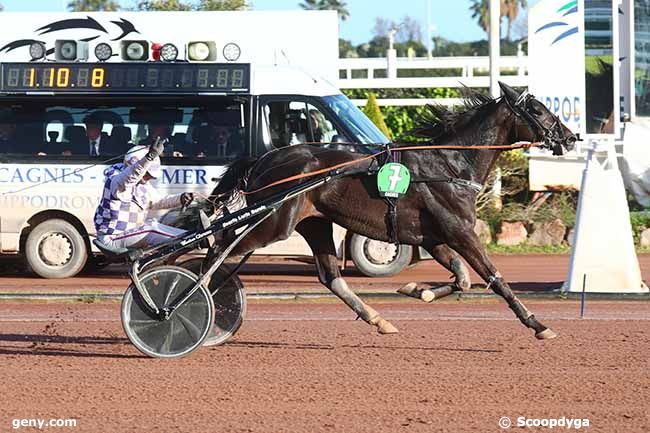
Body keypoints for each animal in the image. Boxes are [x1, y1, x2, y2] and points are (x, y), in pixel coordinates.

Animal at [204, 82, 572, 338]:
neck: (450, 165)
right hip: (275, 222)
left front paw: (418, 290)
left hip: (314, 223)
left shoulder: (433, 237)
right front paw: (537, 324)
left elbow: (462, 278)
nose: (570, 137)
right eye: (538, 110)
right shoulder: (460, 232)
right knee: (221, 252)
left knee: (330, 276)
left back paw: (377, 319)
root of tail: (265, 159)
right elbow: (494, 278)